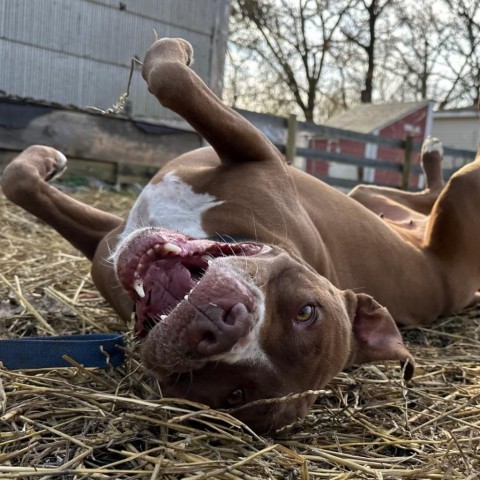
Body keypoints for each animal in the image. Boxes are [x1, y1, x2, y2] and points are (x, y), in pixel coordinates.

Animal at [0, 39, 480, 434]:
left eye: (233, 394)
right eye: (306, 311)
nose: (219, 323)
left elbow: (169, 79)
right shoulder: (115, 235)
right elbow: (18, 180)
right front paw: (47, 160)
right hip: (379, 197)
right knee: (416, 193)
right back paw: (431, 153)